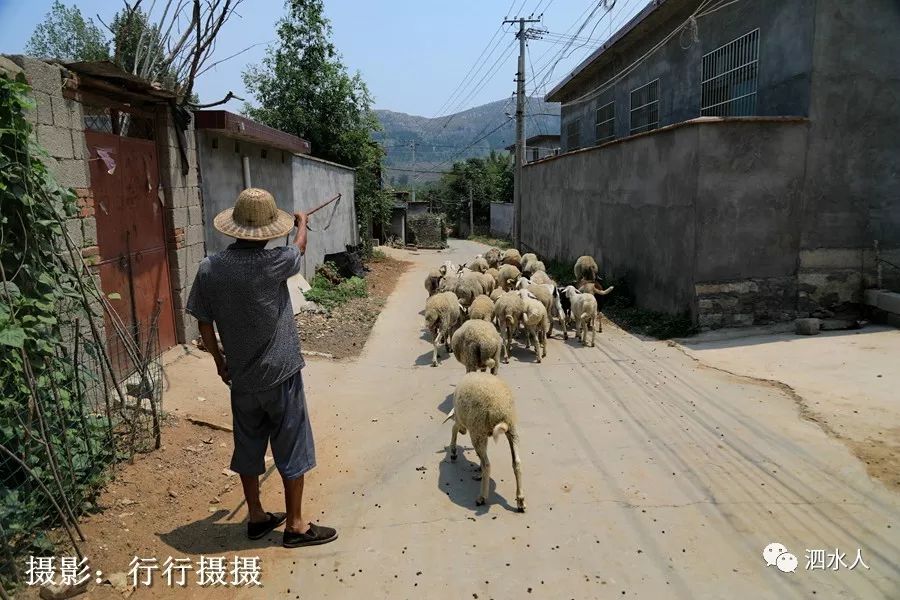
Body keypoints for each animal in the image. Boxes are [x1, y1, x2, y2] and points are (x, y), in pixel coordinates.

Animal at [446, 372, 524, 508]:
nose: (463, 432)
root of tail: (500, 411)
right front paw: (479, 471)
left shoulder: (462, 421)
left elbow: (454, 428)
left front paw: (453, 452)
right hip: (511, 428)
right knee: (516, 462)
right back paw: (520, 500)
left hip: (478, 429)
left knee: (487, 465)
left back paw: (482, 497)